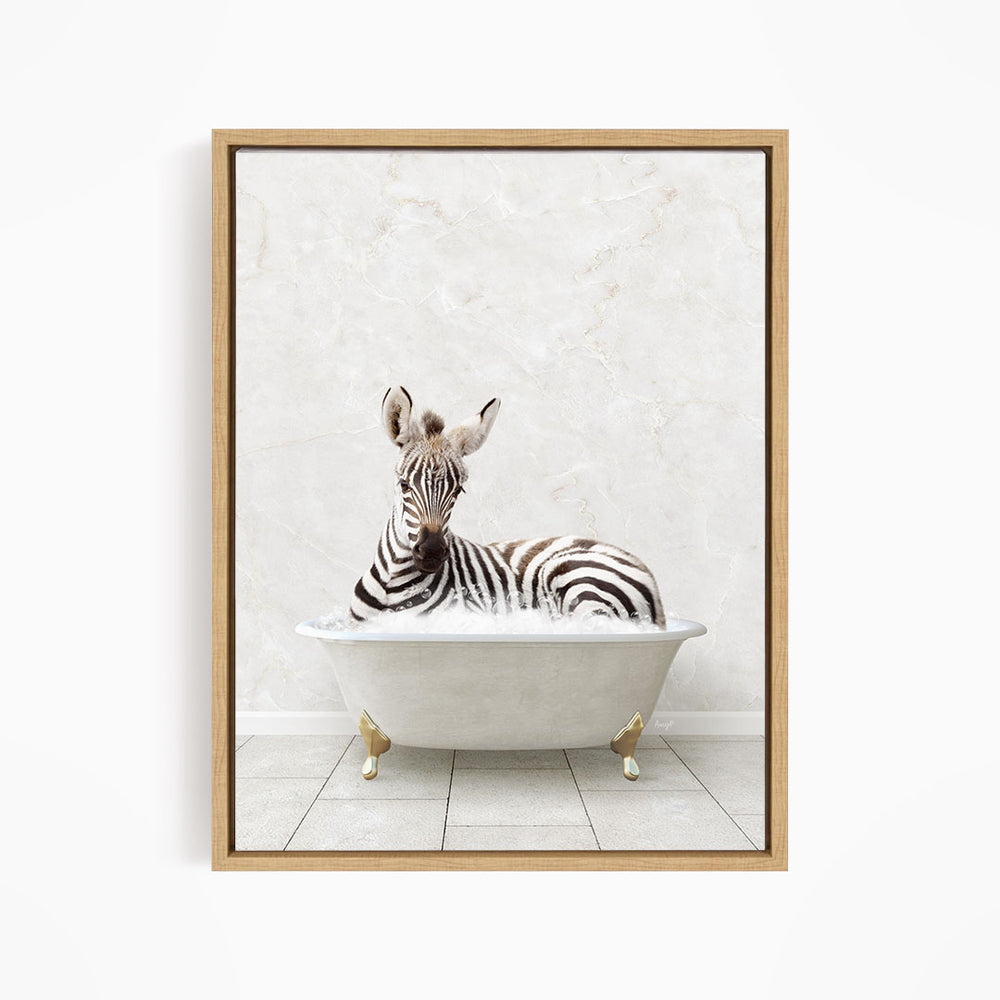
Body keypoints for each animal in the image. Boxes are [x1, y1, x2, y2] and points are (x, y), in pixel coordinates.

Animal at [349, 386, 665, 626]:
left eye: (458, 491)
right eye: (404, 485)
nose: (432, 552)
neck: (392, 583)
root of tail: (648, 576)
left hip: (579, 582)